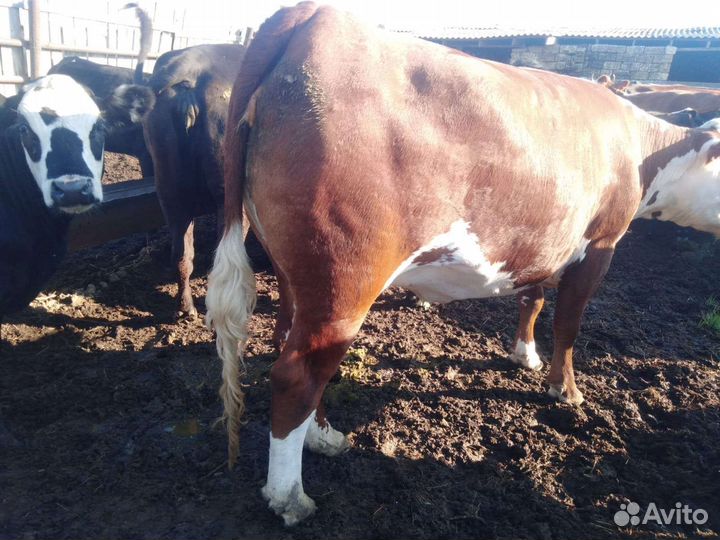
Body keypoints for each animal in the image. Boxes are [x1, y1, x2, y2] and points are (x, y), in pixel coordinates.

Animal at [205, 3, 720, 525]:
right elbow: (569, 325)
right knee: (299, 374)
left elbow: (533, 296)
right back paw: (289, 494)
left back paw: (322, 435)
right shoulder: (600, 242)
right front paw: (565, 389)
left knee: (290, 346)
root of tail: (311, 15)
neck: (642, 148)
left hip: (296, 273)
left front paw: (524, 353)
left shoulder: (540, 238)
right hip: (344, 282)